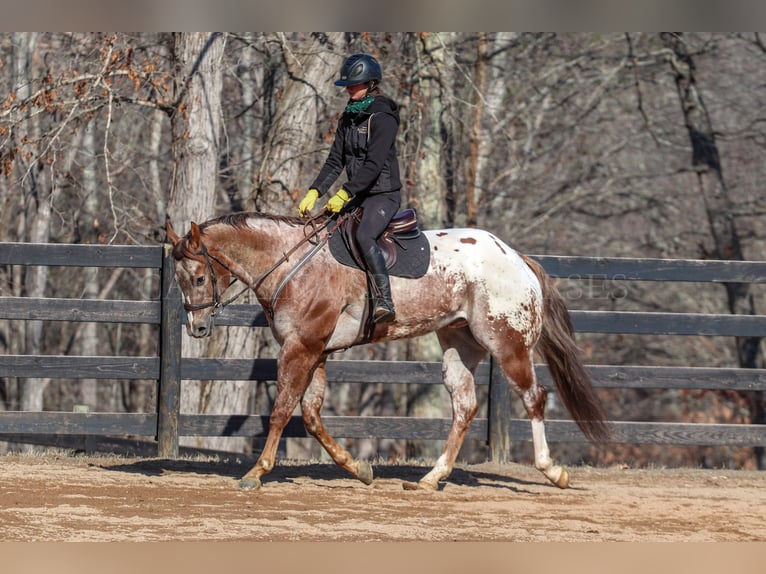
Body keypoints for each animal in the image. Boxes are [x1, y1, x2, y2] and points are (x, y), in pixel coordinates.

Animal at [166, 214, 612, 492]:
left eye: (200, 277)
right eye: (180, 280)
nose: (197, 328)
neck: (293, 264)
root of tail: (516, 257)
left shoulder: (300, 348)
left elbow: (282, 410)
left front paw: (256, 472)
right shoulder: (316, 351)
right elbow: (310, 415)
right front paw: (358, 468)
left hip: (508, 345)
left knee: (534, 398)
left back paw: (552, 471)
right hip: (459, 344)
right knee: (465, 406)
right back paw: (432, 478)